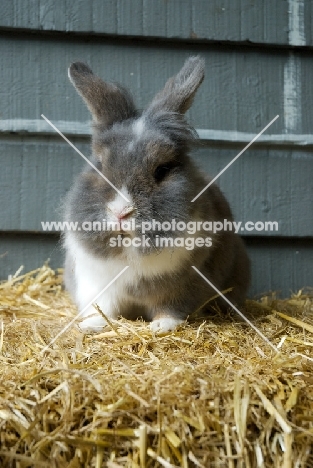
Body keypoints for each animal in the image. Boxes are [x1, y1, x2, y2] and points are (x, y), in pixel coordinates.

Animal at [62, 54, 249, 332]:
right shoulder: (96, 283)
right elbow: (103, 308)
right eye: (100, 165)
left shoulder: (185, 284)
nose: (121, 212)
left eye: (162, 170)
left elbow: (171, 308)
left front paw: (161, 326)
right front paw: (91, 324)